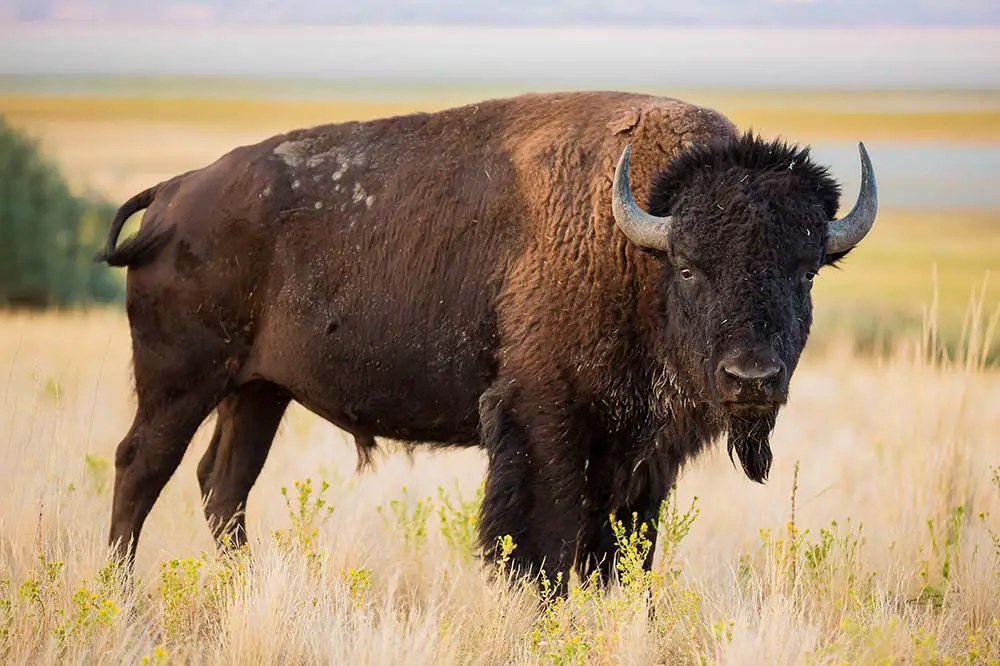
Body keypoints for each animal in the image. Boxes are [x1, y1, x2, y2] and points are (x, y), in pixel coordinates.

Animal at [95, 88, 876, 588]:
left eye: (806, 271)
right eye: (689, 267)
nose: (752, 379)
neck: (634, 244)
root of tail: (174, 193)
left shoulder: (642, 451)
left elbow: (621, 551)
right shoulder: (544, 420)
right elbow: (545, 544)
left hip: (258, 391)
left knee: (223, 484)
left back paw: (241, 586)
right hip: (181, 383)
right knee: (142, 468)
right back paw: (119, 593)